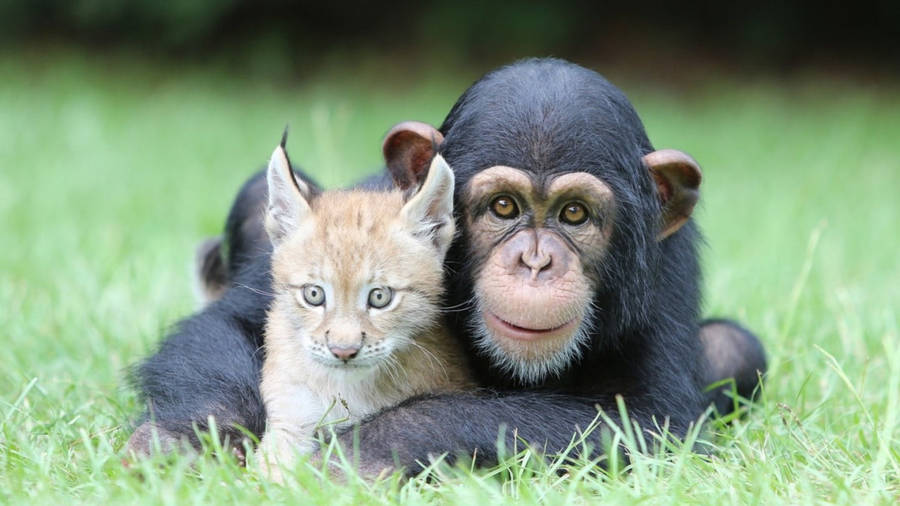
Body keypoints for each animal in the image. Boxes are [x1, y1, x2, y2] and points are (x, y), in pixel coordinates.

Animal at [128, 58, 766, 476]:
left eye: (574, 214)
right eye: (504, 207)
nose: (536, 262)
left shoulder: (663, 279)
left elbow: (649, 424)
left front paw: (358, 453)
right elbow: (228, 325)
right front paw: (183, 440)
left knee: (735, 347)